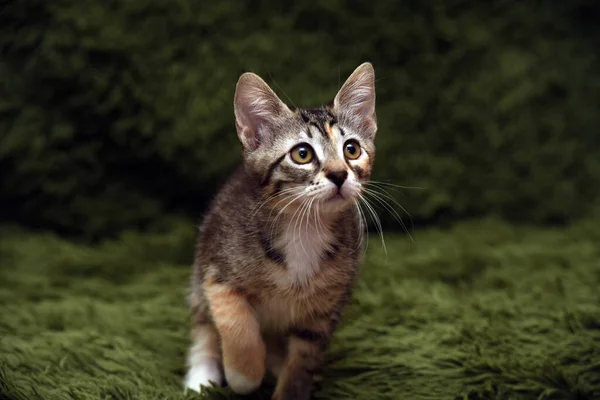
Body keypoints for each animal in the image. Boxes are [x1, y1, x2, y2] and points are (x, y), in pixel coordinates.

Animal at [185, 62, 378, 400]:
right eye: (302, 154)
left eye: (352, 150)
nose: (339, 174)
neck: (304, 227)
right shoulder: (216, 275)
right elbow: (236, 322)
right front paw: (243, 374)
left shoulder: (324, 312)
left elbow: (302, 360)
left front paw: (291, 387)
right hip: (198, 278)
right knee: (205, 329)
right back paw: (203, 375)